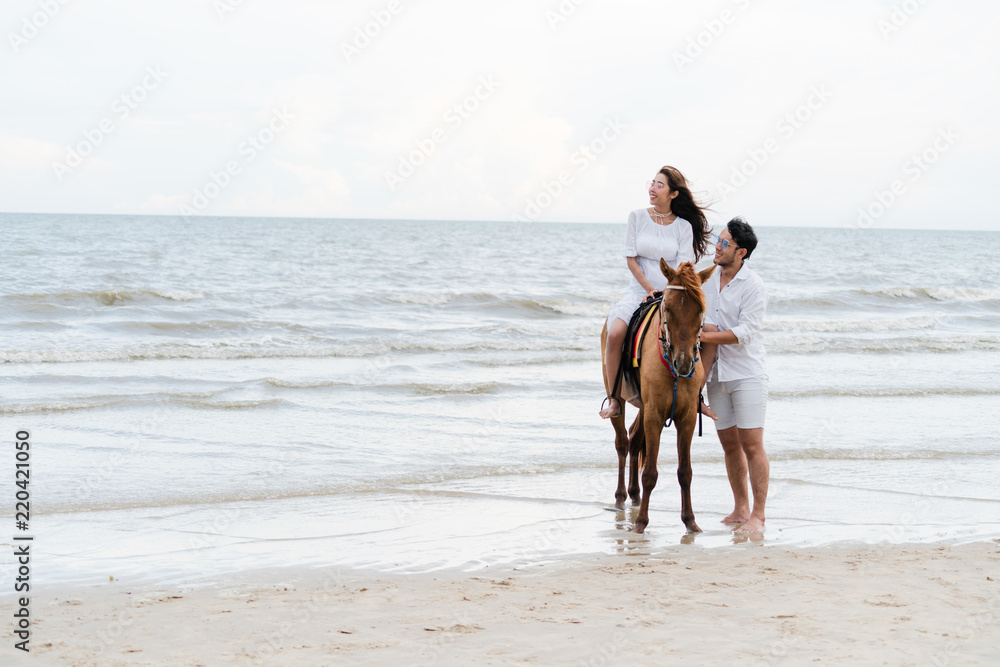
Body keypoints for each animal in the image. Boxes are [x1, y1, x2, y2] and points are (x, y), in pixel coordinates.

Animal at [596, 262, 716, 536]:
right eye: (668, 308)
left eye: (700, 310)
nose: (683, 363)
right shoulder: (654, 416)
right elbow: (650, 472)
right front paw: (641, 522)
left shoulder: (685, 418)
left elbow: (685, 471)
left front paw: (690, 521)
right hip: (620, 396)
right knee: (622, 442)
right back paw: (621, 497)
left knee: (634, 439)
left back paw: (634, 494)